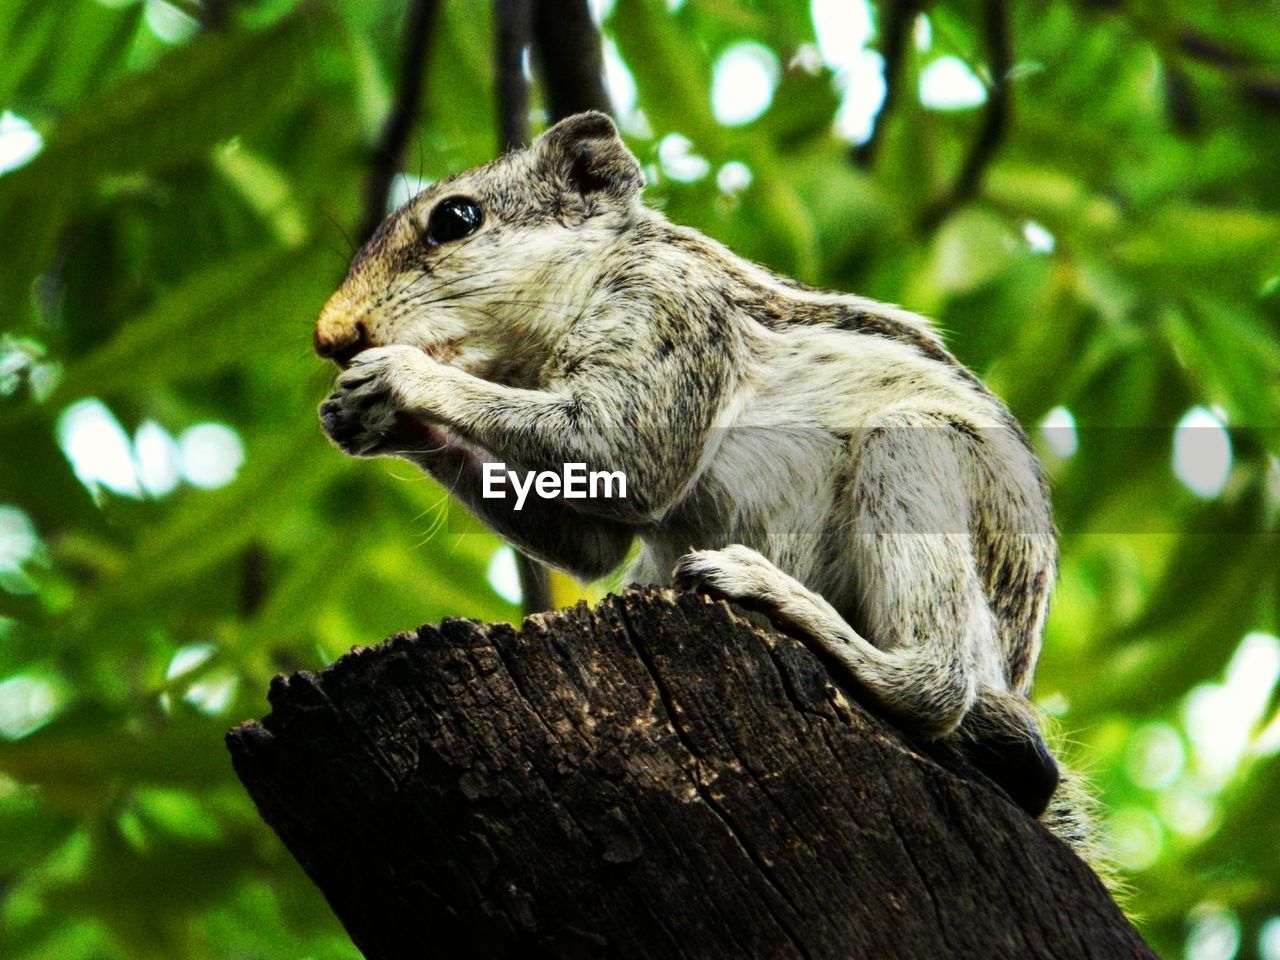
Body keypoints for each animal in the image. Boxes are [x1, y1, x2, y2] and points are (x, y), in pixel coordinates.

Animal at [317, 110, 1090, 855]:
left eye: (456, 218)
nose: (331, 337)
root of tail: (1009, 676)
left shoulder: (670, 315)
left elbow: (627, 452)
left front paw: (402, 378)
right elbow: (593, 545)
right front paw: (369, 418)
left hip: (912, 452)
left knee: (937, 685)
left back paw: (772, 592)